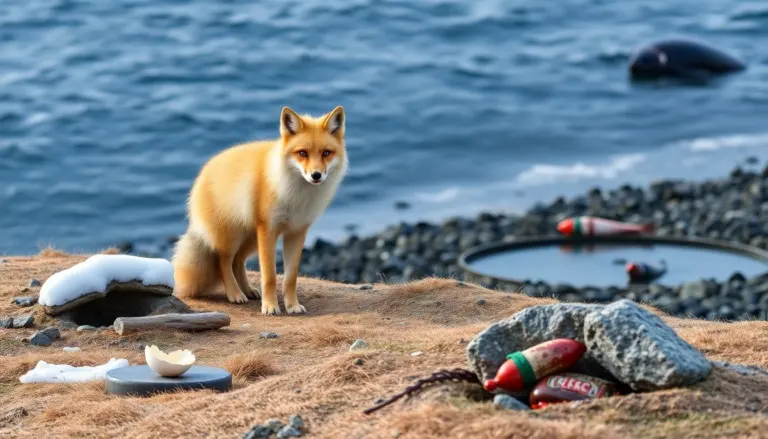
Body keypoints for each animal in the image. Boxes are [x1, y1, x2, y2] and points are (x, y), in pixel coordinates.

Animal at [171, 105, 348, 315]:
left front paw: (292, 306)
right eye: (303, 153)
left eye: (326, 153)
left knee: (238, 262)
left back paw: (248, 290)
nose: (316, 175)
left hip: (250, 239)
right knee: (223, 262)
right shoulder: (268, 230)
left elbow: (290, 278)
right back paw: (235, 294)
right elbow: (269, 276)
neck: (296, 196)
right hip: (233, 238)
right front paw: (270, 306)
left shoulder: (297, 232)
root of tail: (203, 172)